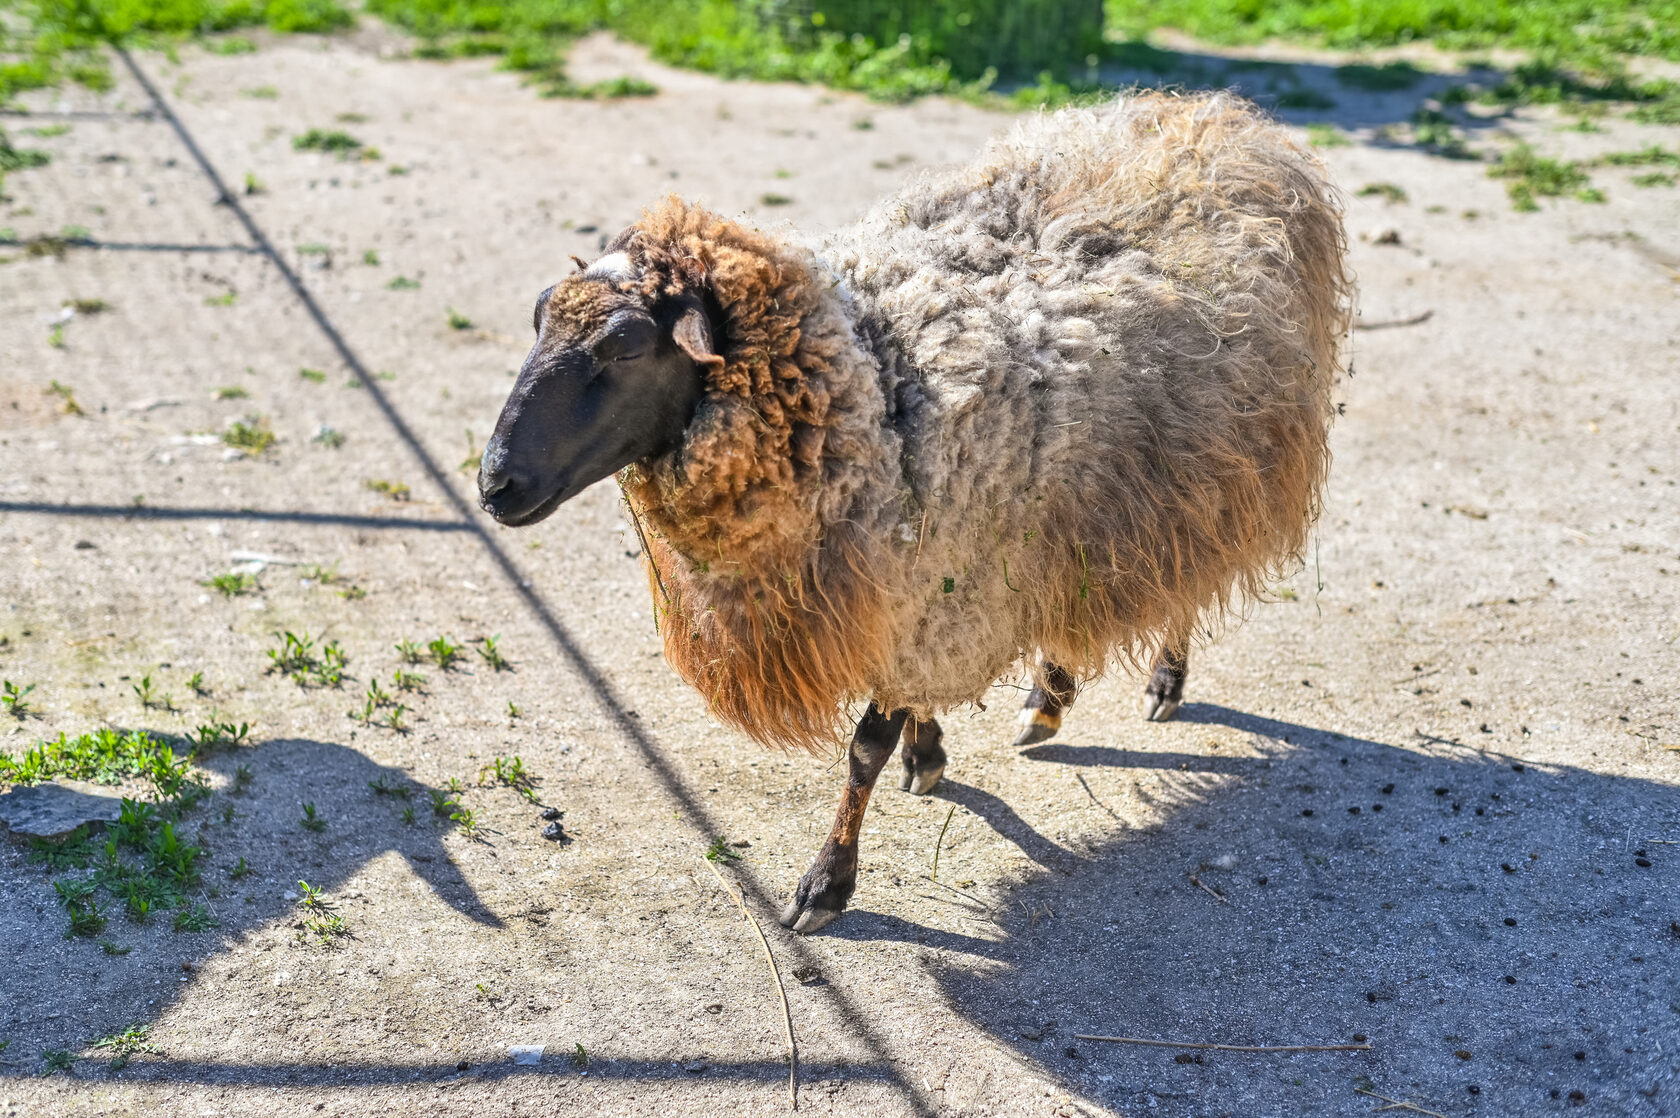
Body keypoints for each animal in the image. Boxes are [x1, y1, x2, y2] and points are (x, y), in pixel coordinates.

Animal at [473, 91, 1350, 934]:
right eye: (540, 317)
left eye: (624, 344)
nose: (494, 485)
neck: (879, 389)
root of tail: (1220, 117)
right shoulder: (932, 584)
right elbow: (912, 709)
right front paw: (928, 753)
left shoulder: (937, 582)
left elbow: (863, 747)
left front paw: (828, 882)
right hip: (1094, 505)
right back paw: (1047, 698)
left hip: (1216, 464)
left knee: (1191, 567)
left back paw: (1163, 677)